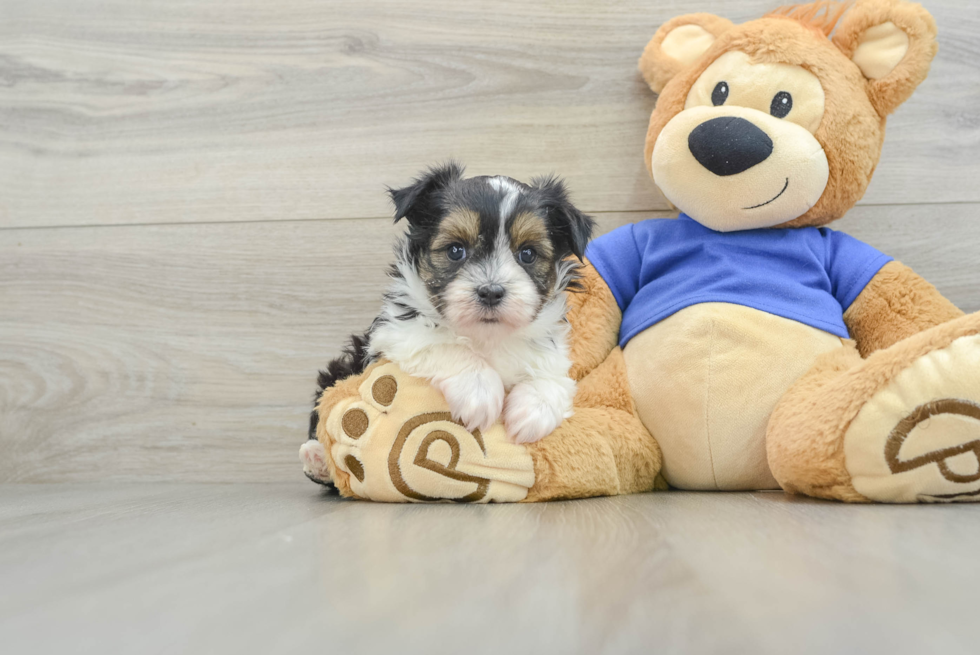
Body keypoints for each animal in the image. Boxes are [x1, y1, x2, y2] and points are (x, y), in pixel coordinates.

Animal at [310, 164, 592, 448]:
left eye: (528, 254)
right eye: (456, 250)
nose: (491, 292)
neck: (487, 337)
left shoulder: (554, 352)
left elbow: (553, 374)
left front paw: (534, 410)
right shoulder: (394, 333)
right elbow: (446, 345)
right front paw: (480, 391)